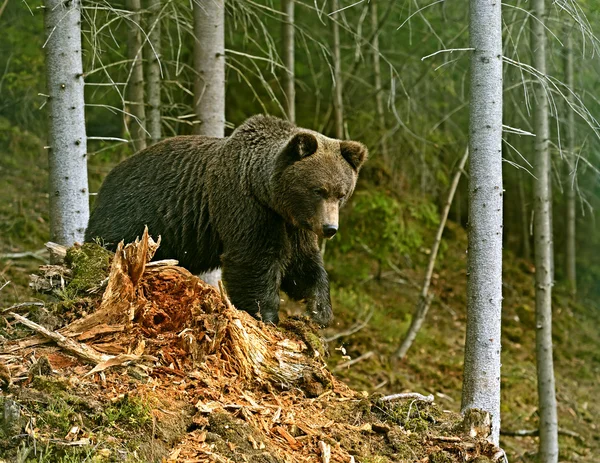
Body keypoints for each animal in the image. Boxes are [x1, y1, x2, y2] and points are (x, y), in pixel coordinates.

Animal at [84, 115, 366, 326]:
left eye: (341, 193)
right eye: (318, 190)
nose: (330, 228)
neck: (265, 191)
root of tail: (109, 176)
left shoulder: (293, 223)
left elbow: (302, 264)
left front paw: (320, 311)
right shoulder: (245, 204)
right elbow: (253, 259)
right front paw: (266, 314)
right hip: (132, 212)